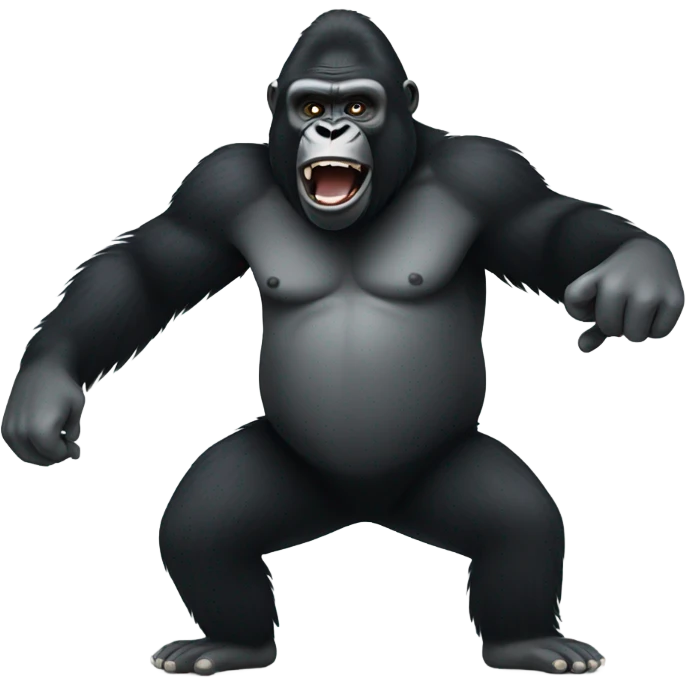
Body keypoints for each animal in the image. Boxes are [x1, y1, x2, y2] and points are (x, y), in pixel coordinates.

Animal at [2, 8, 683, 677]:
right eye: (309, 107)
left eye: (358, 106)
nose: (330, 129)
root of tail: (366, 507)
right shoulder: (214, 187)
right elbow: (148, 269)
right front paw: (43, 388)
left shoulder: (491, 177)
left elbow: (547, 228)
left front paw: (638, 271)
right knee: (205, 531)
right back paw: (236, 644)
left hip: (441, 474)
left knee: (519, 528)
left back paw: (526, 642)